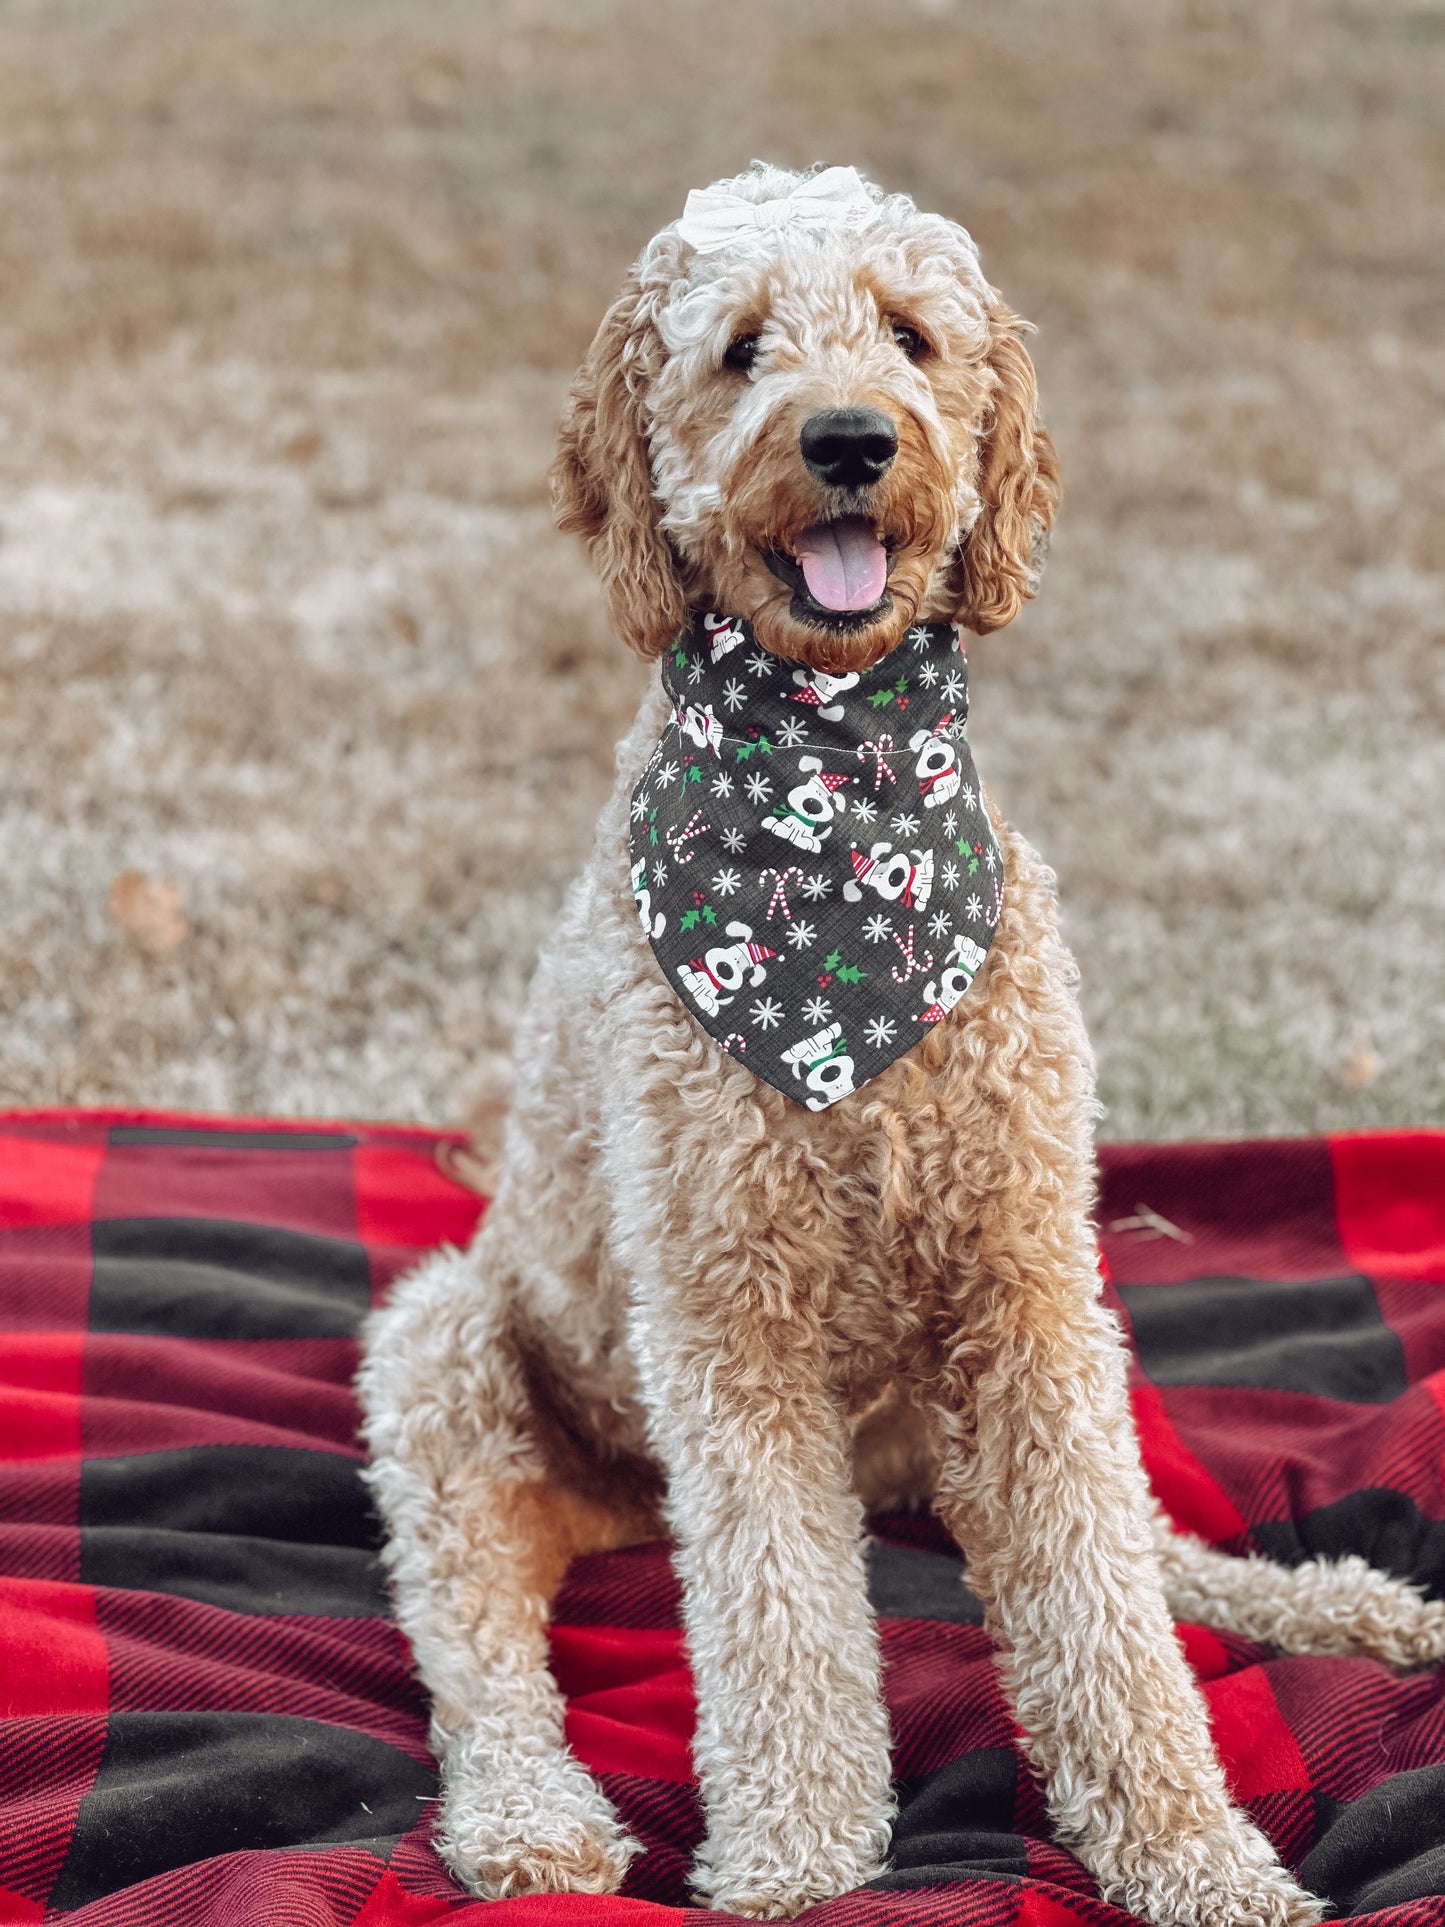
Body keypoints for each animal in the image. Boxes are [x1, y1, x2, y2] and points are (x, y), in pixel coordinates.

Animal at [354, 169, 1445, 1927]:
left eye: (914, 336)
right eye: (741, 347)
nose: (854, 437)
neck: (836, 810)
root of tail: (614, 1505)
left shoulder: (1026, 1288)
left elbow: (1105, 1603)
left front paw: (1196, 1853)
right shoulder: (729, 1319)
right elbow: (780, 1617)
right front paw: (797, 1858)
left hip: (953, 1401)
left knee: (1140, 1544)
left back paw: (1338, 1602)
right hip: (452, 1350)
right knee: (480, 1639)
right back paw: (534, 1821)